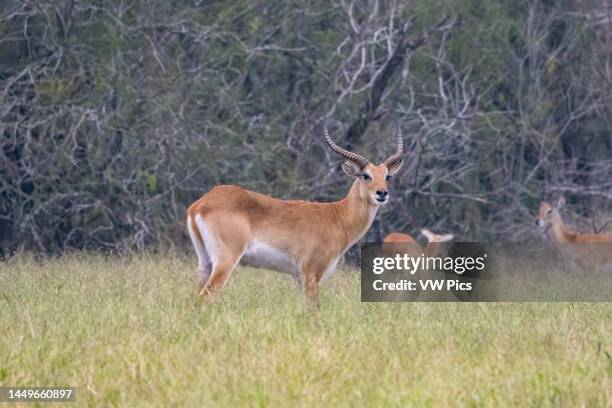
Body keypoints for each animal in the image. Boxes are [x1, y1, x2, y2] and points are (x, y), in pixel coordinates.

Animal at [186, 122, 406, 302]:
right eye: (366, 175)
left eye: (387, 176)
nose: (382, 193)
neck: (337, 216)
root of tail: (201, 204)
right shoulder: (311, 274)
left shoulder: (299, 278)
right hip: (226, 260)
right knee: (204, 297)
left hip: (205, 263)